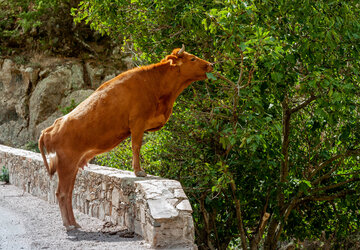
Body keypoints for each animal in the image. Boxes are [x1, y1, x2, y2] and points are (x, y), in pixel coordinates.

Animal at [38, 45, 214, 230]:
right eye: (192, 58)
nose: (211, 64)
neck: (158, 86)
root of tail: (51, 128)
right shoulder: (137, 122)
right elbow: (136, 146)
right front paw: (138, 171)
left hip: (72, 166)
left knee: (69, 192)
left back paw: (74, 223)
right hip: (66, 164)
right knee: (62, 193)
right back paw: (69, 224)